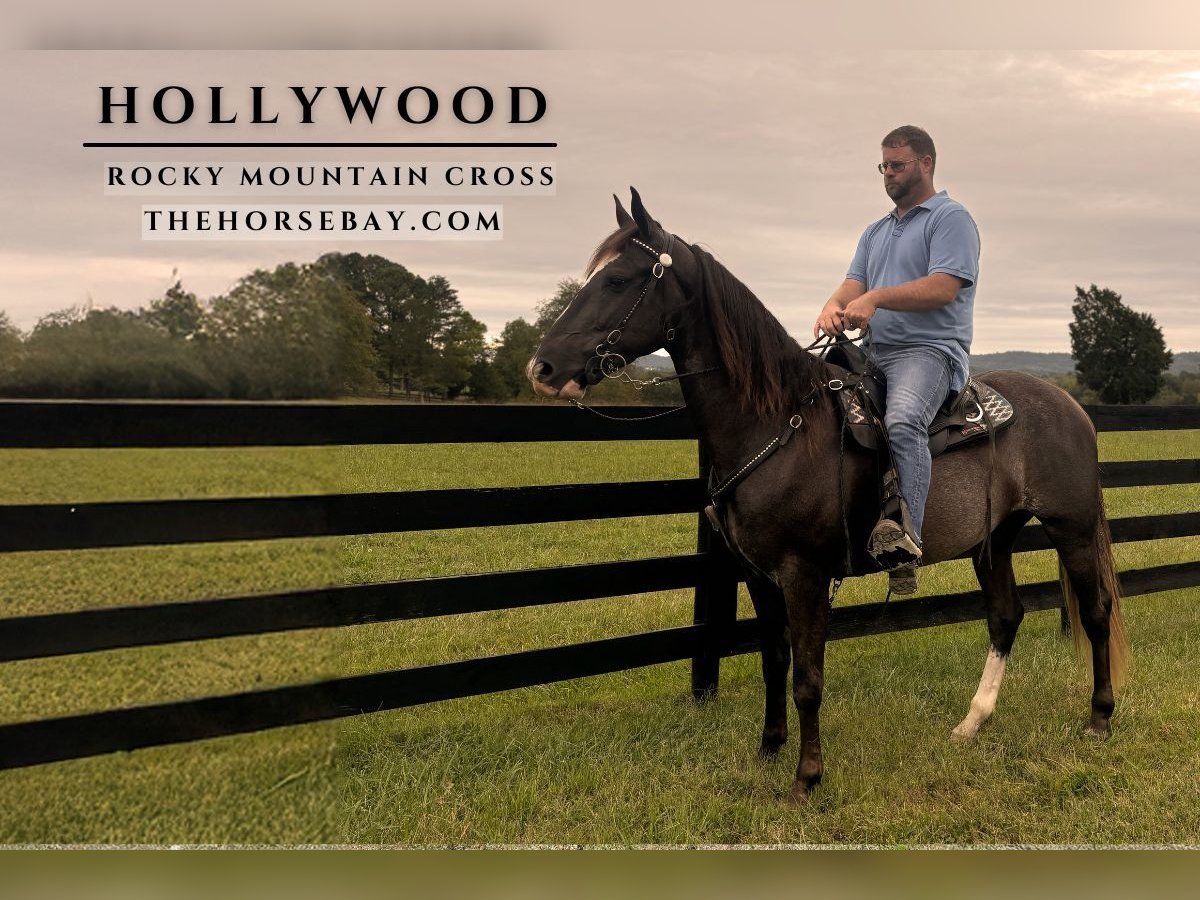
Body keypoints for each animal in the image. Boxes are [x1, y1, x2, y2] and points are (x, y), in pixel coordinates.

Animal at [530, 188, 1128, 801]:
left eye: (618, 280)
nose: (543, 367)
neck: (775, 423)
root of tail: (1072, 408)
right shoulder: (758, 574)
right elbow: (774, 662)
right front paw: (769, 751)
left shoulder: (805, 575)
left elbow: (808, 679)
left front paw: (807, 777)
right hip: (994, 540)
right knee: (1005, 616)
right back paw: (973, 721)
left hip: (1072, 528)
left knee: (1096, 610)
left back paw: (1099, 717)